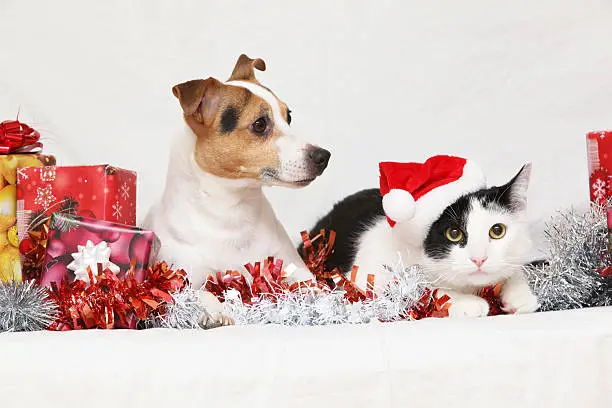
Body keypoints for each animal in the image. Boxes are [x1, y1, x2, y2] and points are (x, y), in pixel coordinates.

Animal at [143, 55, 330, 328]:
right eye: (260, 124)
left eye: (289, 116)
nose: (324, 156)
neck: (234, 211)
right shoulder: (180, 277)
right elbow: (198, 293)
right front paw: (215, 310)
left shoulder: (294, 268)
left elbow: (313, 287)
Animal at [304, 160, 536, 318]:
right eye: (454, 233)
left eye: (497, 230)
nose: (479, 259)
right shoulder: (366, 275)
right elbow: (416, 287)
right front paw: (466, 302)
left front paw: (519, 295)